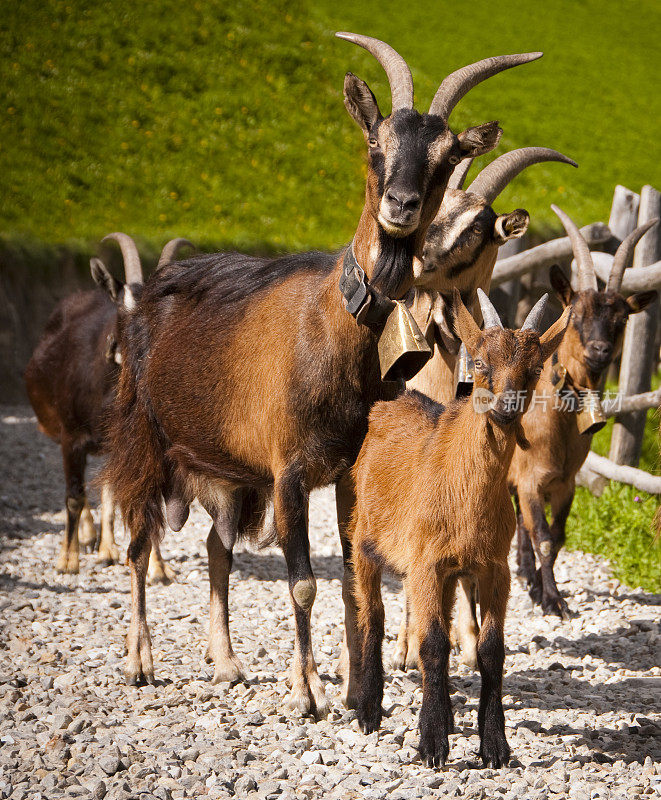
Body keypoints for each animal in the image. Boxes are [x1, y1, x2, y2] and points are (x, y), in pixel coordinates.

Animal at [25, 234, 191, 580]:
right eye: (122, 309)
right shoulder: (71, 438)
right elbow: (74, 496)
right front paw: (67, 561)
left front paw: (158, 568)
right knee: (80, 490)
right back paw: (88, 538)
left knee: (109, 490)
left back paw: (106, 548)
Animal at [98, 34, 540, 716]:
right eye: (375, 142)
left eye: (444, 156)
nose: (401, 207)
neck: (334, 322)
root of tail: (143, 299)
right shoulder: (289, 473)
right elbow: (304, 584)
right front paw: (307, 691)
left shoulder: (347, 470)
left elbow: (353, 577)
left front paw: (358, 686)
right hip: (145, 439)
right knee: (140, 543)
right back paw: (140, 660)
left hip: (229, 469)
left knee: (216, 549)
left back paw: (226, 663)